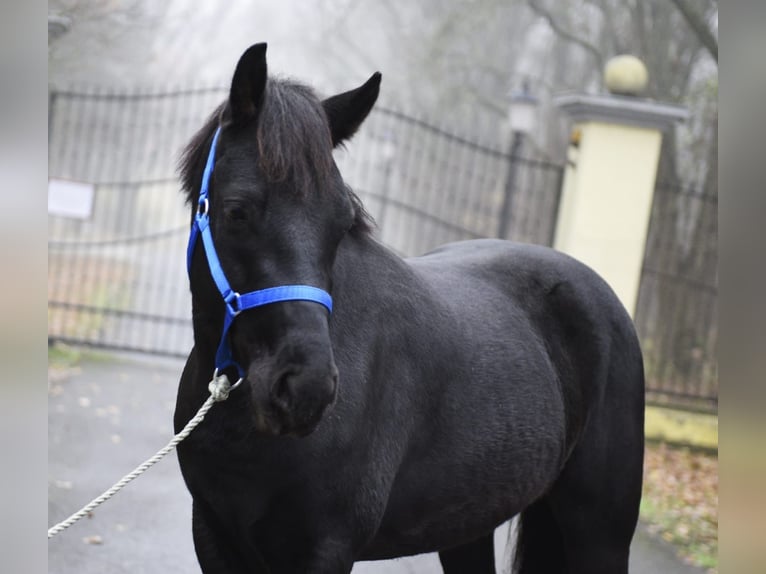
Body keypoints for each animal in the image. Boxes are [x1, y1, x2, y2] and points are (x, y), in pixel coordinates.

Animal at [174, 43, 645, 574]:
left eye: (343, 222)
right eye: (237, 211)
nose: (306, 387)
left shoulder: (323, 547)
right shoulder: (213, 535)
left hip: (599, 537)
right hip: (468, 527)